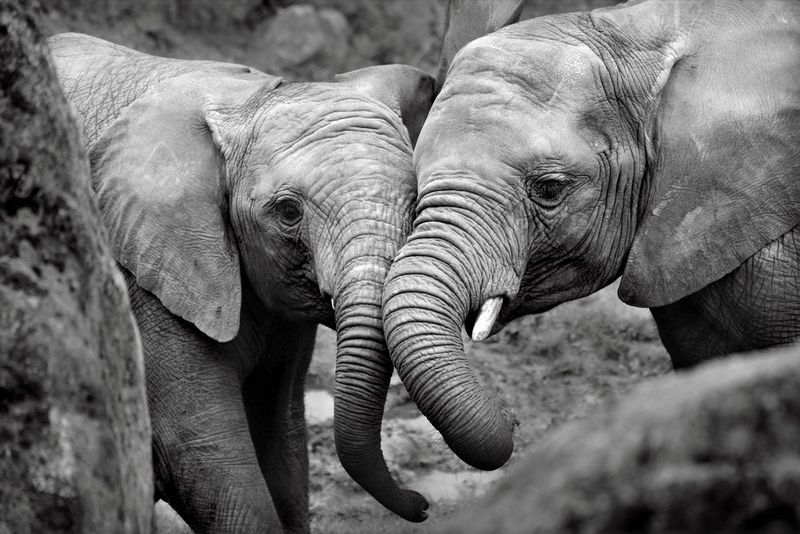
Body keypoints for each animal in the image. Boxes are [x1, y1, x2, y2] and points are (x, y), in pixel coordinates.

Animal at [47, 32, 432, 532]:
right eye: (288, 212)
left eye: (417, 200)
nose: (423, 505)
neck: (248, 99)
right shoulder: (142, 280)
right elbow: (199, 449)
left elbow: (281, 442)